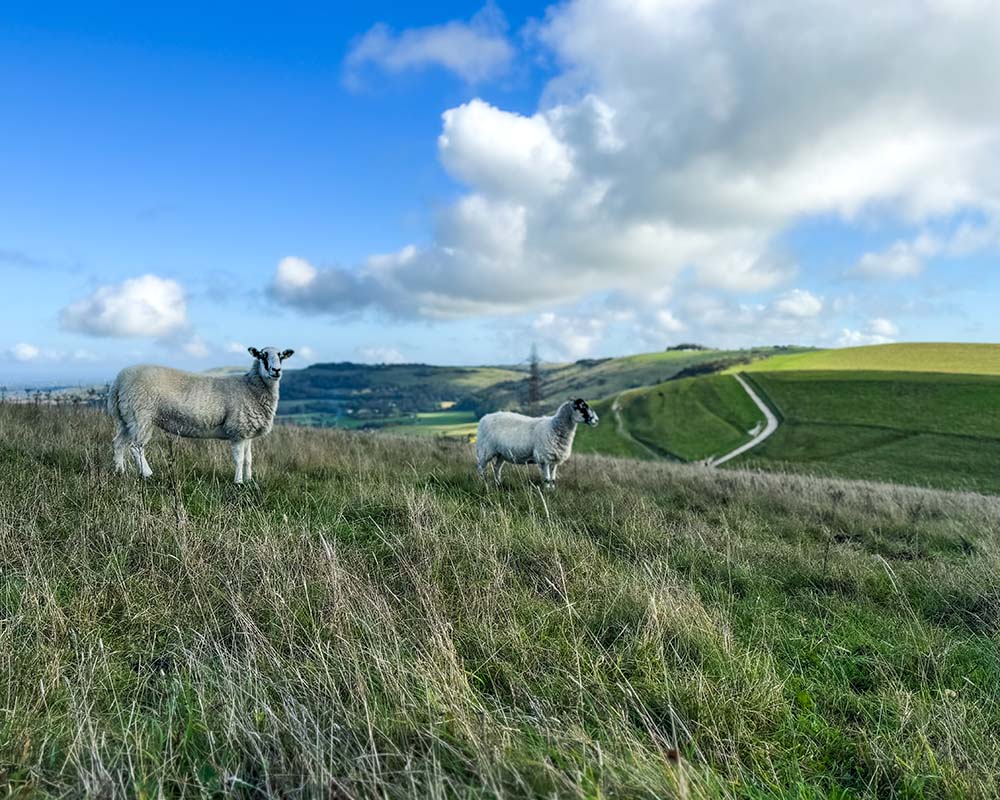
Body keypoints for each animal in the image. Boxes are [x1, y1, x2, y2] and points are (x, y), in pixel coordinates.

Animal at [110, 344, 296, 482]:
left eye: (281, 356)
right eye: (262, 356)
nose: (276, 370)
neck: (250, 387)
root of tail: (119, 380)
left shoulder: (246, 432)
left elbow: (249, 459)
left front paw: (249, 480)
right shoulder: (236, 430)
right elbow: (239, 459)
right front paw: (238, 482)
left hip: (127, 418)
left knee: (118, 444)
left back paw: (120, 472)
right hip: (141, 416)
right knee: (136, 448)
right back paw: (147, 474)